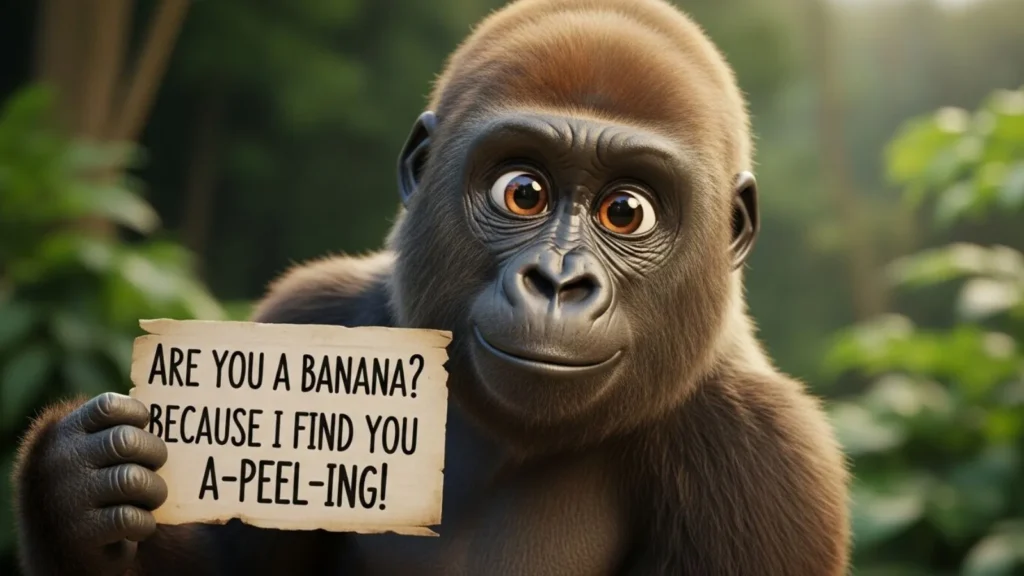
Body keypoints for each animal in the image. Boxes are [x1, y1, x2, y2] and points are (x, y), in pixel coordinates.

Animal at [11, 0, 851, 574]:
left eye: (626, 211)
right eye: (523, 192)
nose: (558, 282)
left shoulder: (767, 459)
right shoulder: (313, 308)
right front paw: (73, 492)